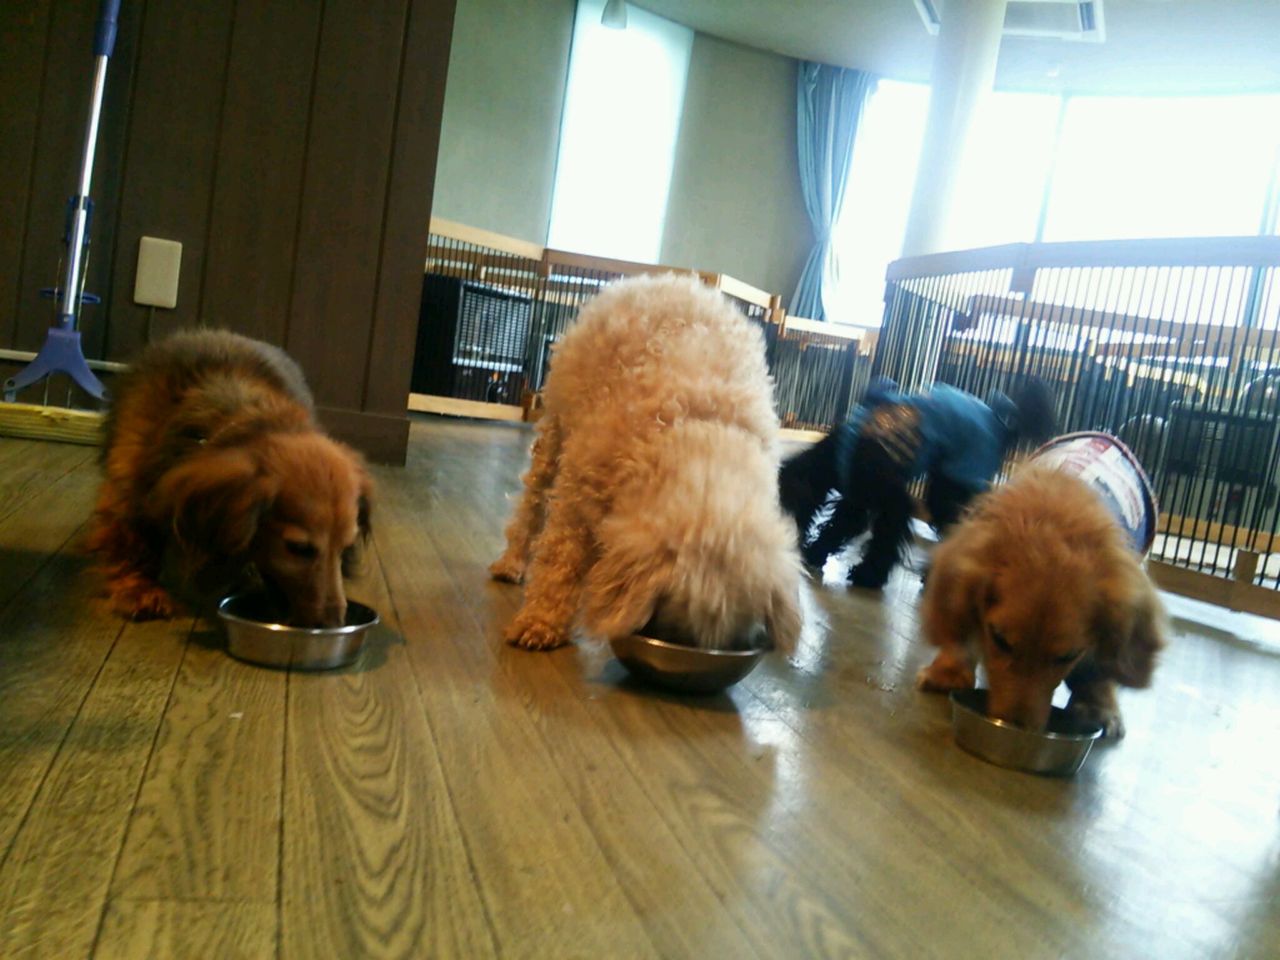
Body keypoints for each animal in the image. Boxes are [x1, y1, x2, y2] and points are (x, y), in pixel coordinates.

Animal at [88, 329, 372, 627]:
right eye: (299, 548)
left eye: (345, 548)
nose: (334, 624)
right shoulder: (128, 489)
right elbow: (130, 542)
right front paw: (138, 588)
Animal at [490, 274, 803, 652]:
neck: (698, 428)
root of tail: (667, 278)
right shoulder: (576, 499)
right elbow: (559, 560)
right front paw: (541, 620)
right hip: (555, 432)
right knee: (531, 506)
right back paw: (512, 561)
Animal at [778, 376, 1057, 588]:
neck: (840, 453)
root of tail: (1002, 426)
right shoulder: (858, 496)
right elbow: (839, 526)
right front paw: (816, 552)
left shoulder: (890, 499)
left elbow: (884, 537)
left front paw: (869, 575)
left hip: (954, 485)